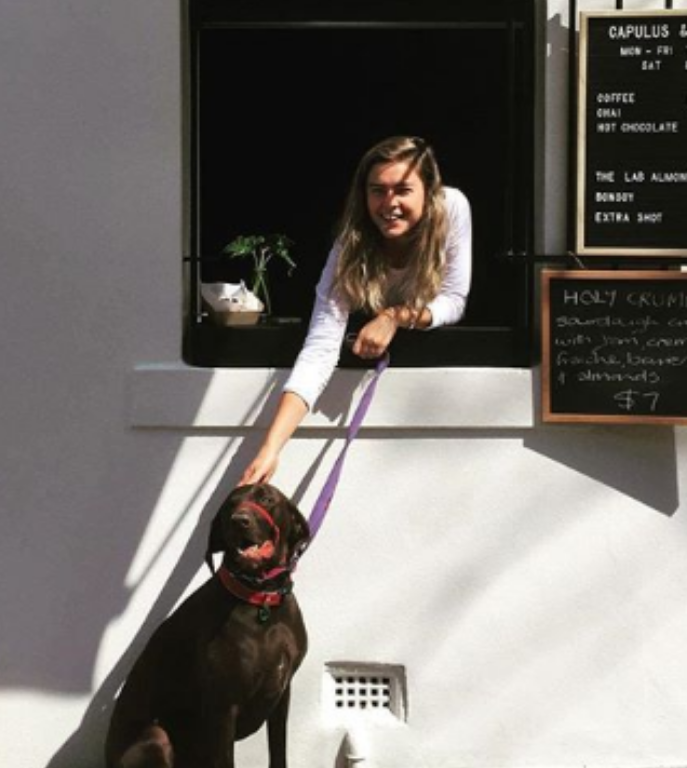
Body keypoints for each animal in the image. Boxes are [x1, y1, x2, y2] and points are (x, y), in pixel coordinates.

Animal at [105, 483, 310, 768]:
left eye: (267, 499)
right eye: (229, 506)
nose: (239, 520)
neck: (262, 600)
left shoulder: (281, 696)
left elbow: (278, 752)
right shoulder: (223, 708)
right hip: (156, 737)